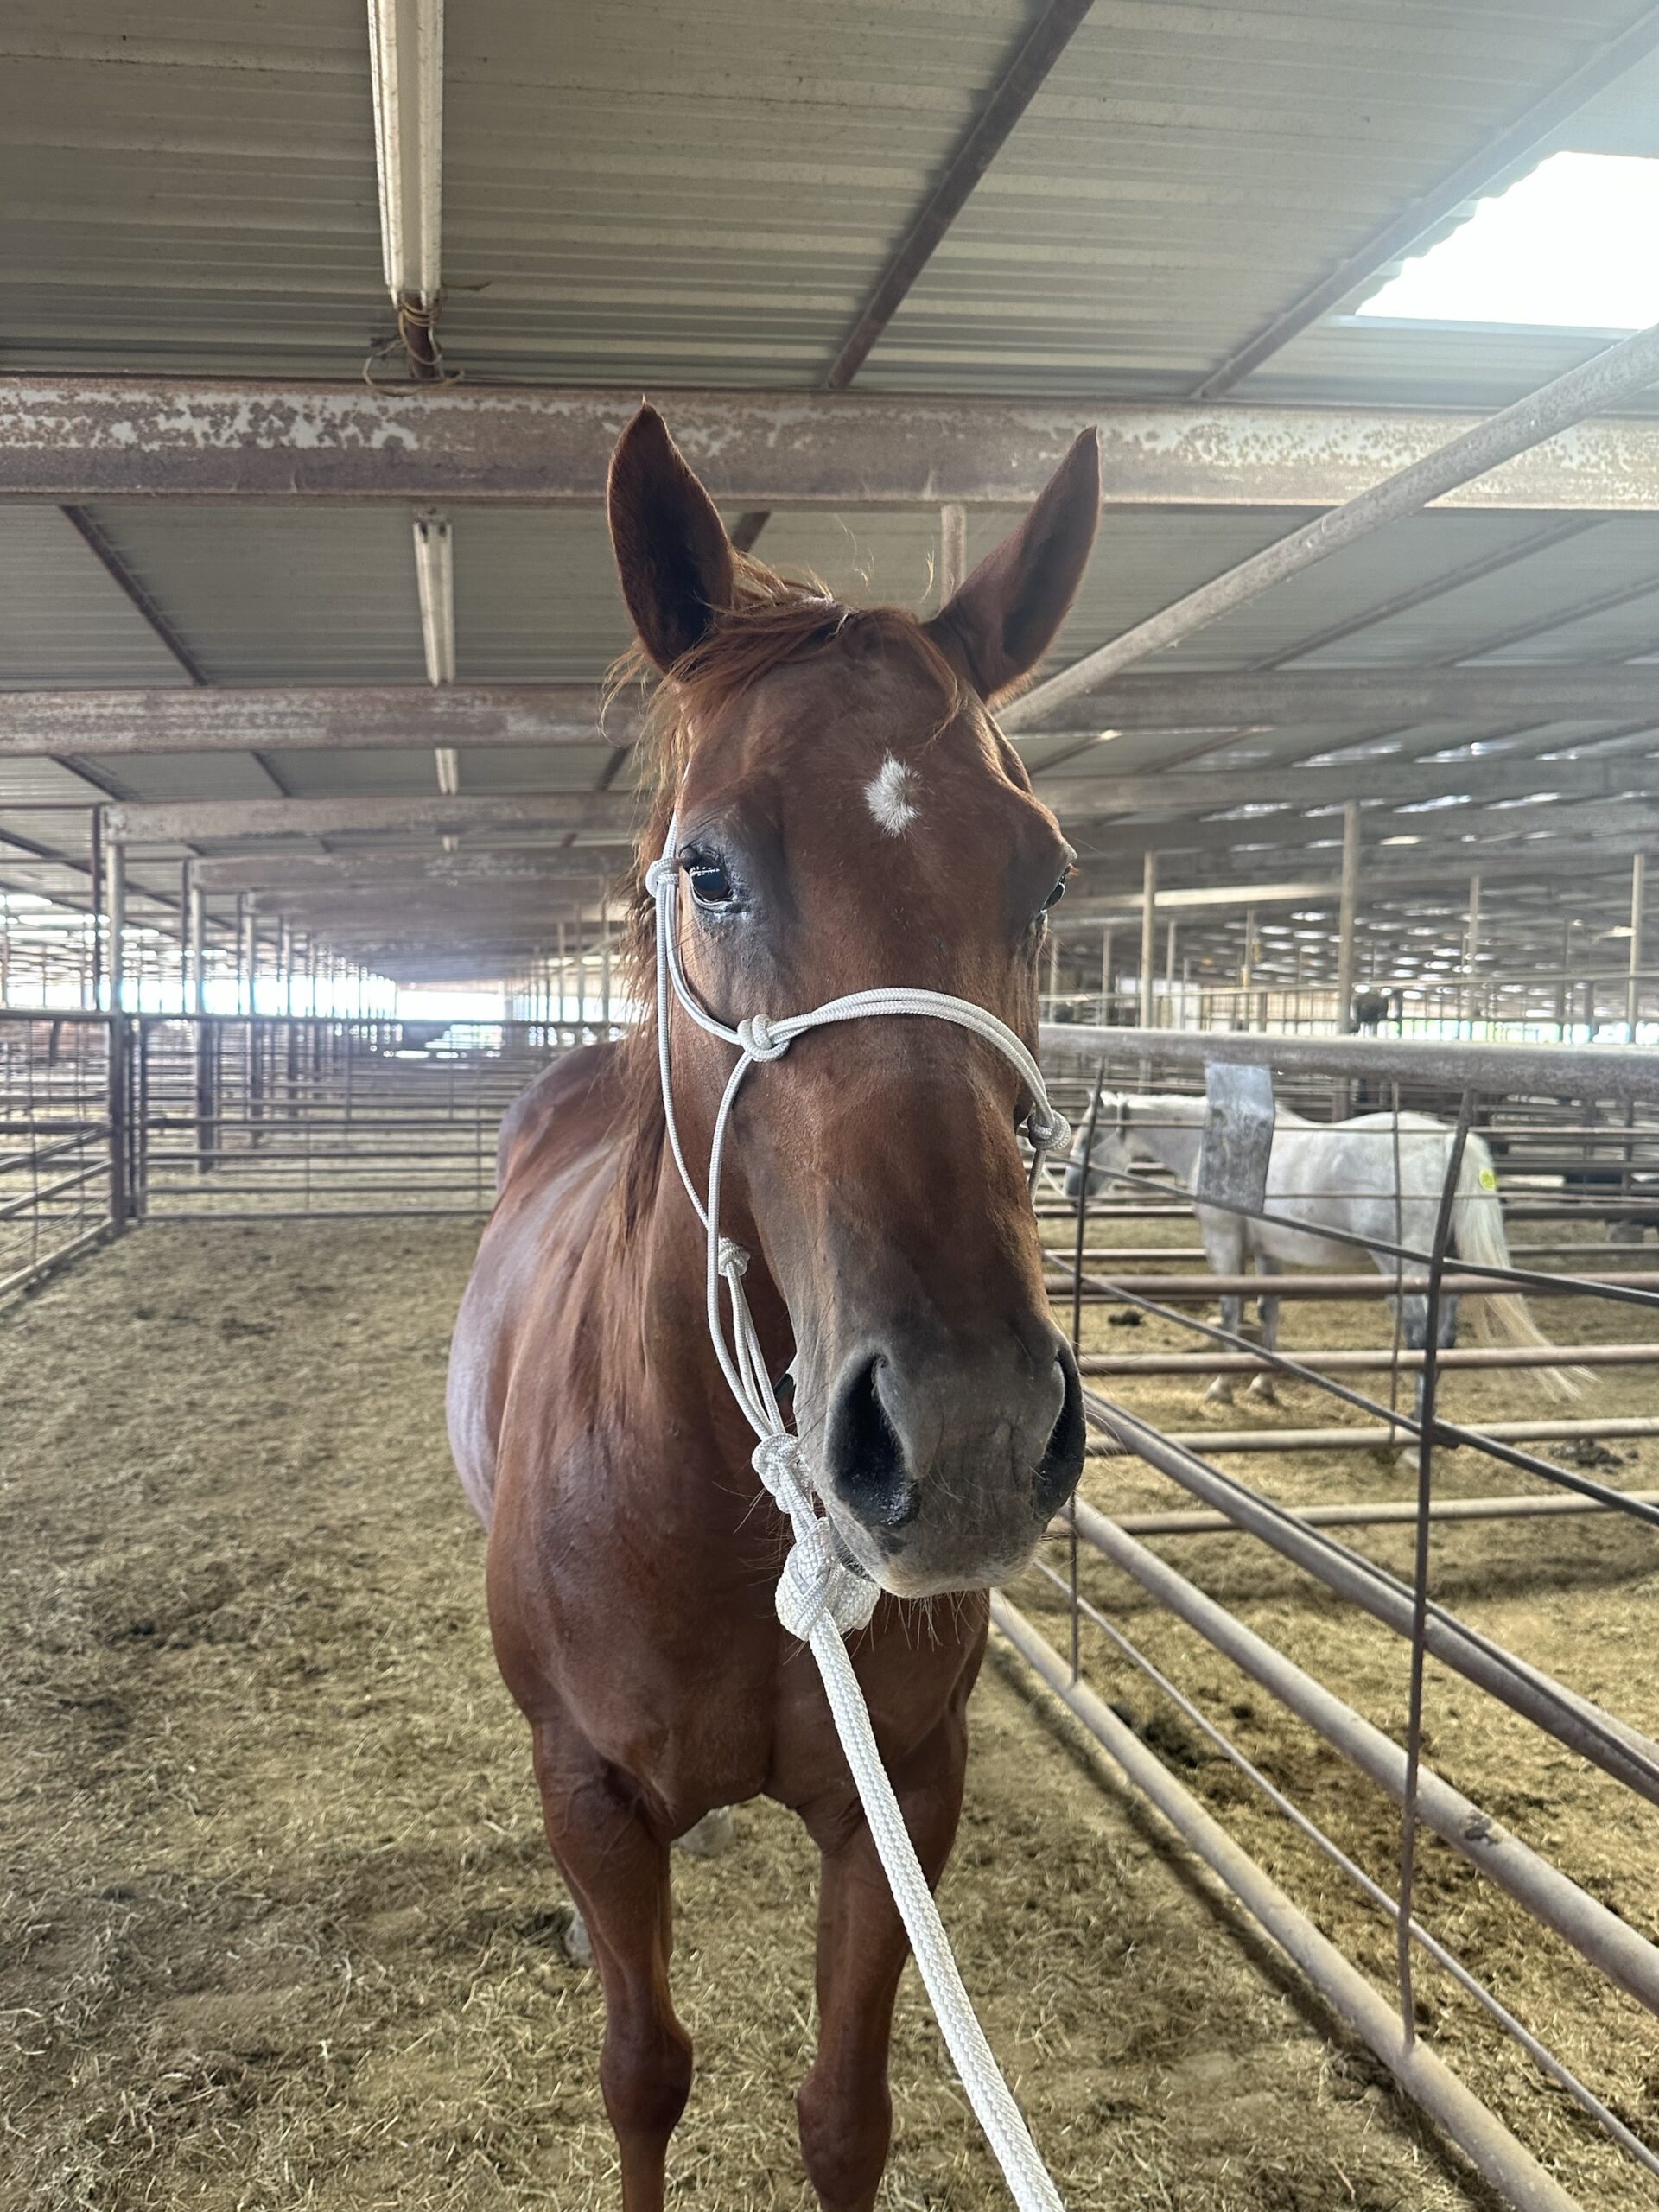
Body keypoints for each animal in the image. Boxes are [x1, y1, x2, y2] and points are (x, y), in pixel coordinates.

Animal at [448, 404, 1099, 2211]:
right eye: (710, 869)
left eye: (1047, 880)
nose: (966, 1433)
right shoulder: (588, 1796)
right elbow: (642, 2073)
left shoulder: (903, 1798)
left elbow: (844, 2113)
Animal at [1064, 1091, 1584, 1413]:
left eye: (1090, 1136)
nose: (1070, 1190)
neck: (1221, 1147)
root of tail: (1448, 1144)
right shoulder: (1268, 1252)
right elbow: (1269, 1313)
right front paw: (1263, 1385)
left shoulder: (1224, 1245)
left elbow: (1231, 1315)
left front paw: (1221, 1388)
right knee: (1444, 1339)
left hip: (1405, 1268)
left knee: (1422, 1336)